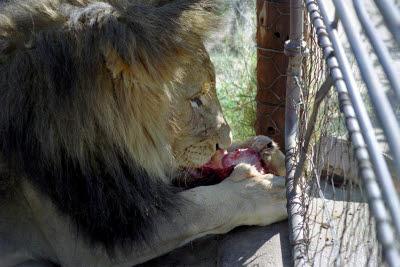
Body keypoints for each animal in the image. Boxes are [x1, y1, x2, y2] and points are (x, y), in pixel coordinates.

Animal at [0, 1, 288, 266]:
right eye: (195, 99)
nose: (224, 142)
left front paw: (267, 150)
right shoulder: (87, 242)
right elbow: (199, 211)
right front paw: (263, 192)